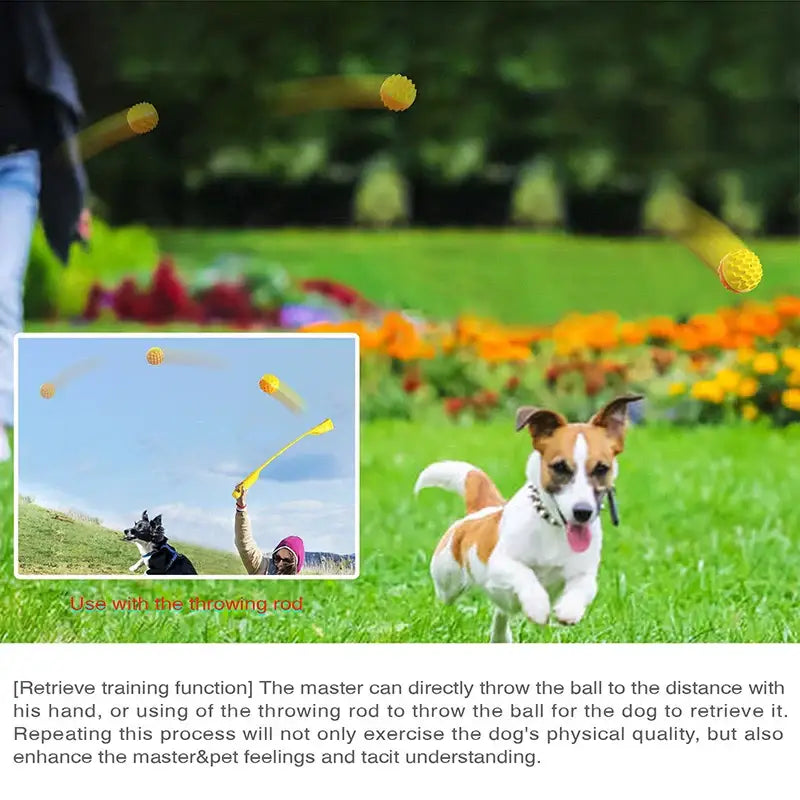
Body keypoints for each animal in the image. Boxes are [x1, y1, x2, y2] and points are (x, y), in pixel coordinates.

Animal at [416, 394, 640, 644]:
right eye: (560, 467)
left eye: (602, 468)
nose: (583, 512)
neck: (553, 527)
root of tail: (483, 511)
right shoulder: (500, 564)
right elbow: (524, 573)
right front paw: (538, 606)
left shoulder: (584, 572)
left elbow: (583, 586)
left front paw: (568, 610)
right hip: (446, 580)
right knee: (448, 594)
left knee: (501, 614)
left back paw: (501, 636)